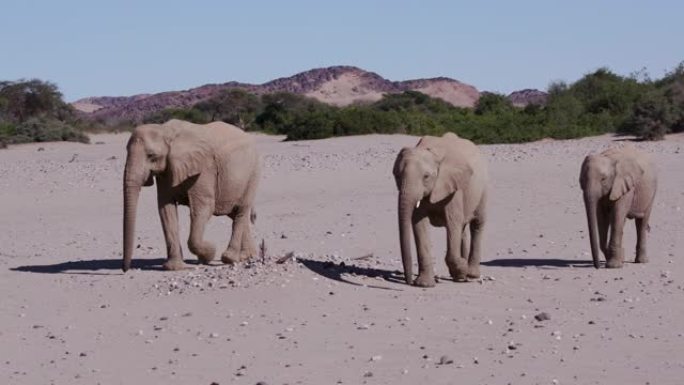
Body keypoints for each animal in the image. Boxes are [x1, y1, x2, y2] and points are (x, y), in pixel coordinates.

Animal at [121, 118, 260, 272]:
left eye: (151, 156)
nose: (125, 269)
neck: (165, 131)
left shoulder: (203, 168)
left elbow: (203, 208)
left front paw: (209, 253)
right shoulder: (166, 170)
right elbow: (166, 209)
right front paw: (175, 267)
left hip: (252, 173)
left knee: (241, 210)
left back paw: (229, 258)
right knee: (235, 214)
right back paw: (247, 257)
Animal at [392, 132, 488, 284]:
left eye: (426, 177)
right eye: (397, 176)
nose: (408, 281)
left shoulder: (453, 187)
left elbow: (452, 222)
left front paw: (462, 270)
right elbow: (419, 224)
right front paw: (424, 284)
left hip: (483, 187)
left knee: (477, 224)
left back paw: (471, 275)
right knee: (462, 229)